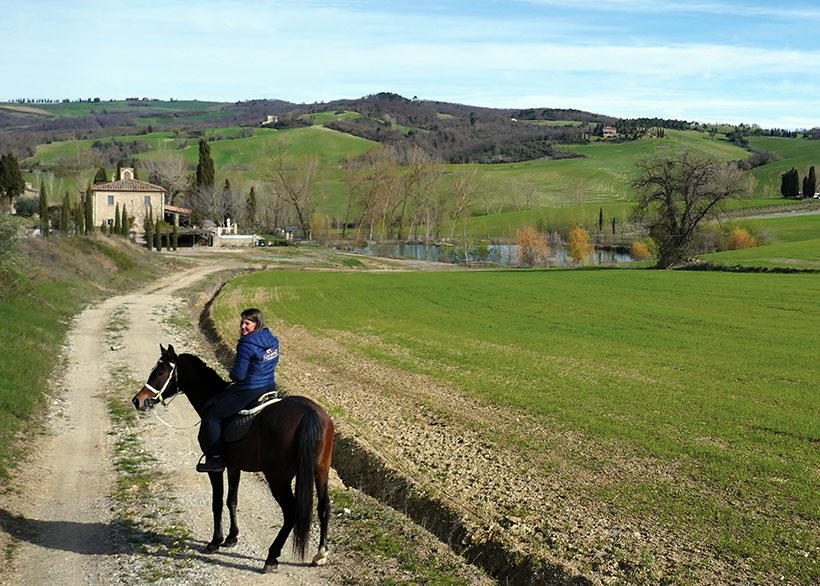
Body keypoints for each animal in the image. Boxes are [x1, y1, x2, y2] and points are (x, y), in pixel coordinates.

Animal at [131, 342, 334, 572]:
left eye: (160, 372)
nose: (138, 400)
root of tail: (309, 412)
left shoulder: (215, 466)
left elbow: (217, 502)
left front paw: (215, 541)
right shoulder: (234, 466)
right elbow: (232, 500)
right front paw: (231, 537)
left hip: (278, 478)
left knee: (290, 513)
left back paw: (272, 556)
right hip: (320, 471)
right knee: (324, 507)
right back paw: (320, 554)